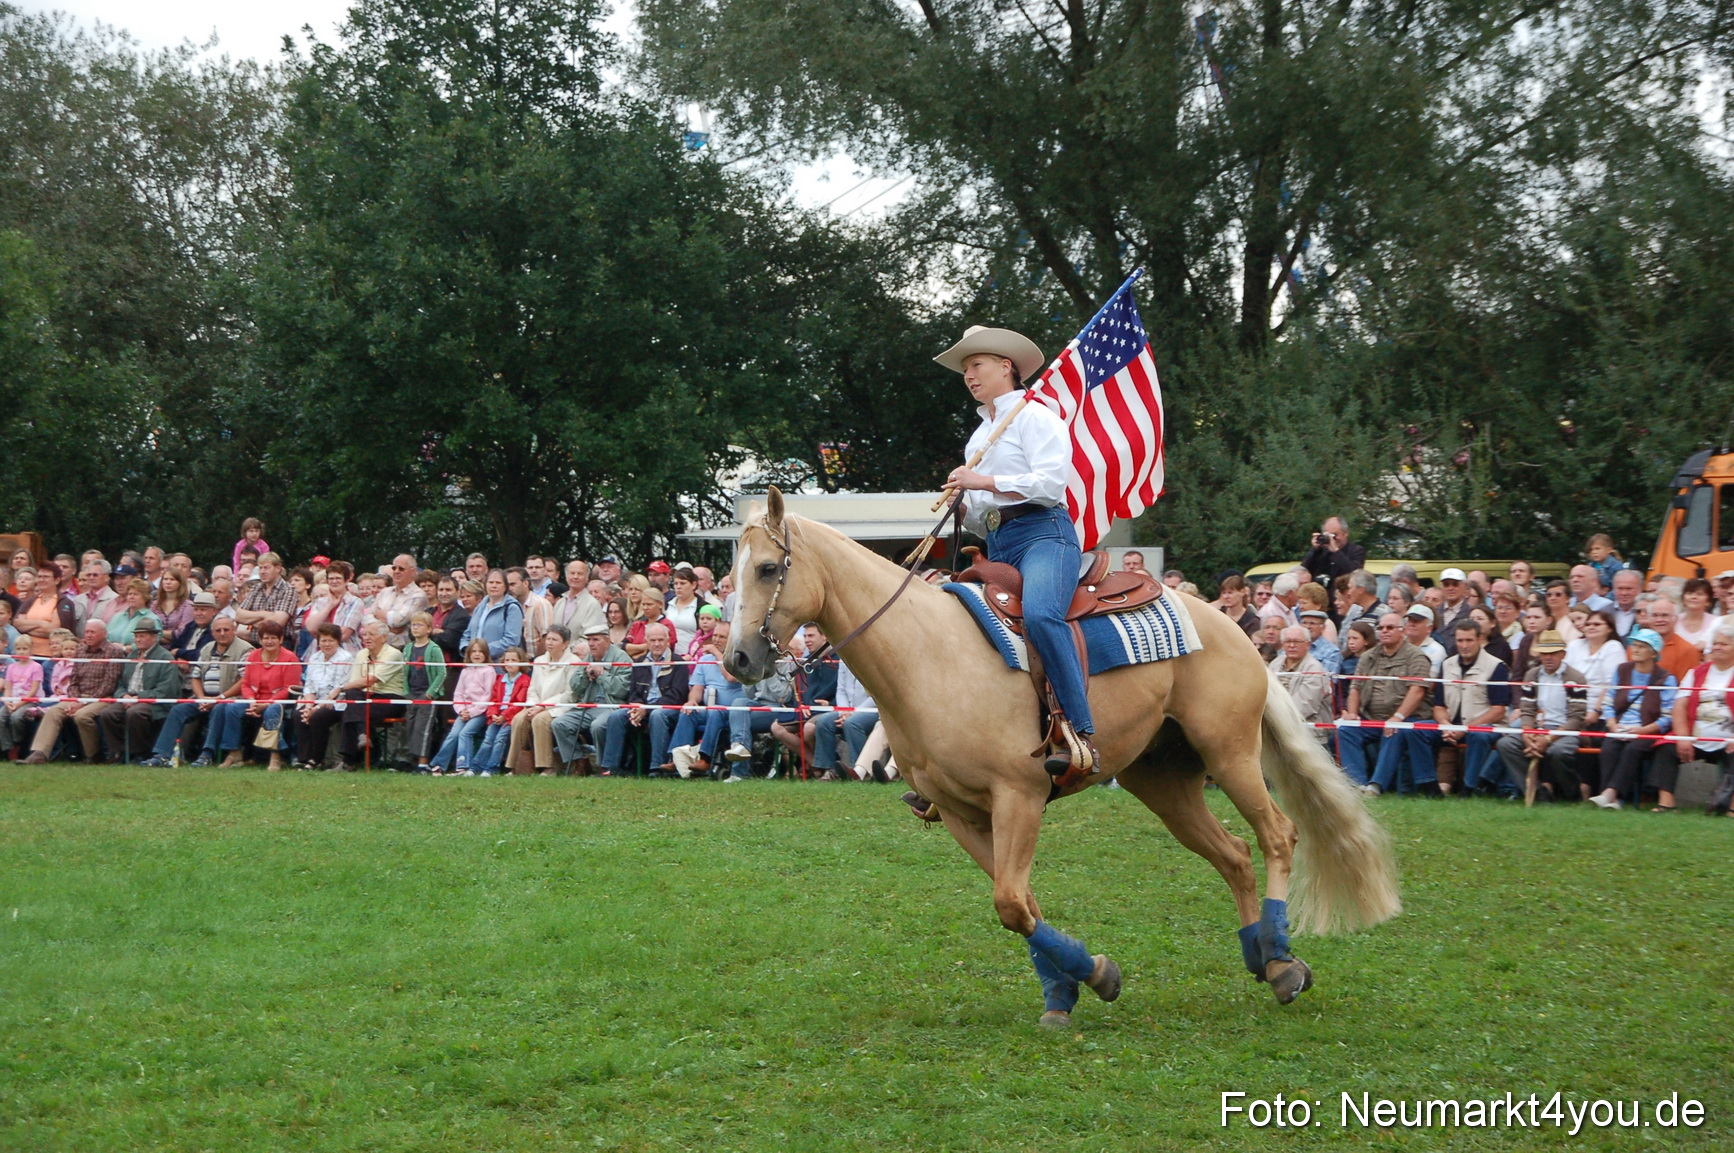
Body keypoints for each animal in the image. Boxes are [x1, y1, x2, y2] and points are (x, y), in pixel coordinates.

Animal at [722, 487, 1400, 1026]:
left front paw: (1092, 977)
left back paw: (1283, 961)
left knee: (1278, 835)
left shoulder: (1019, 797)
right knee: (1233, 854)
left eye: (767, 568)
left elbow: (1011, 902)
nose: (737, 660)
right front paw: (1074, 986)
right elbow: (1021, 904)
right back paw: (1258, 954)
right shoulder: (963, 813)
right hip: (1164, 781)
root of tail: (1231, 629)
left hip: (1230, 752)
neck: (926, 653)